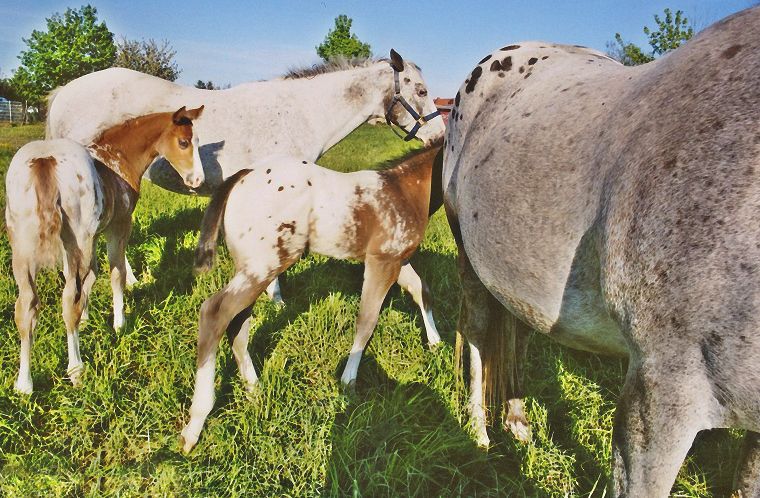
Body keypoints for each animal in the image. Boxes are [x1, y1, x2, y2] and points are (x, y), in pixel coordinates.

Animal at [4, 106, 205, 392]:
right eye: (184, 142)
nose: (197, 179)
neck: (116, 156)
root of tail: (46, 160)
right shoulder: (118, 226)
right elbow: (116, 273)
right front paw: (119, 323)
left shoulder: (90, 236)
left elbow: (88, 276)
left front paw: (88, 318)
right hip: (74, 237)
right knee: (68, 302)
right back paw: (76, 369)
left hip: (23, 248)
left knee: (26, 307)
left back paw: (24, 384)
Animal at [179, 143, 446, 452]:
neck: (404, 190)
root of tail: (243, 175)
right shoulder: (382, 261)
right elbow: (367, 320)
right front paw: (348, 381)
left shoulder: (398, 261)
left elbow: (421, 291)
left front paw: (436, 343)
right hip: (264, 266)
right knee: (214, 312)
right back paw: (195, 424)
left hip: (251, 268)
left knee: (237, 323)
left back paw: (254, 390)